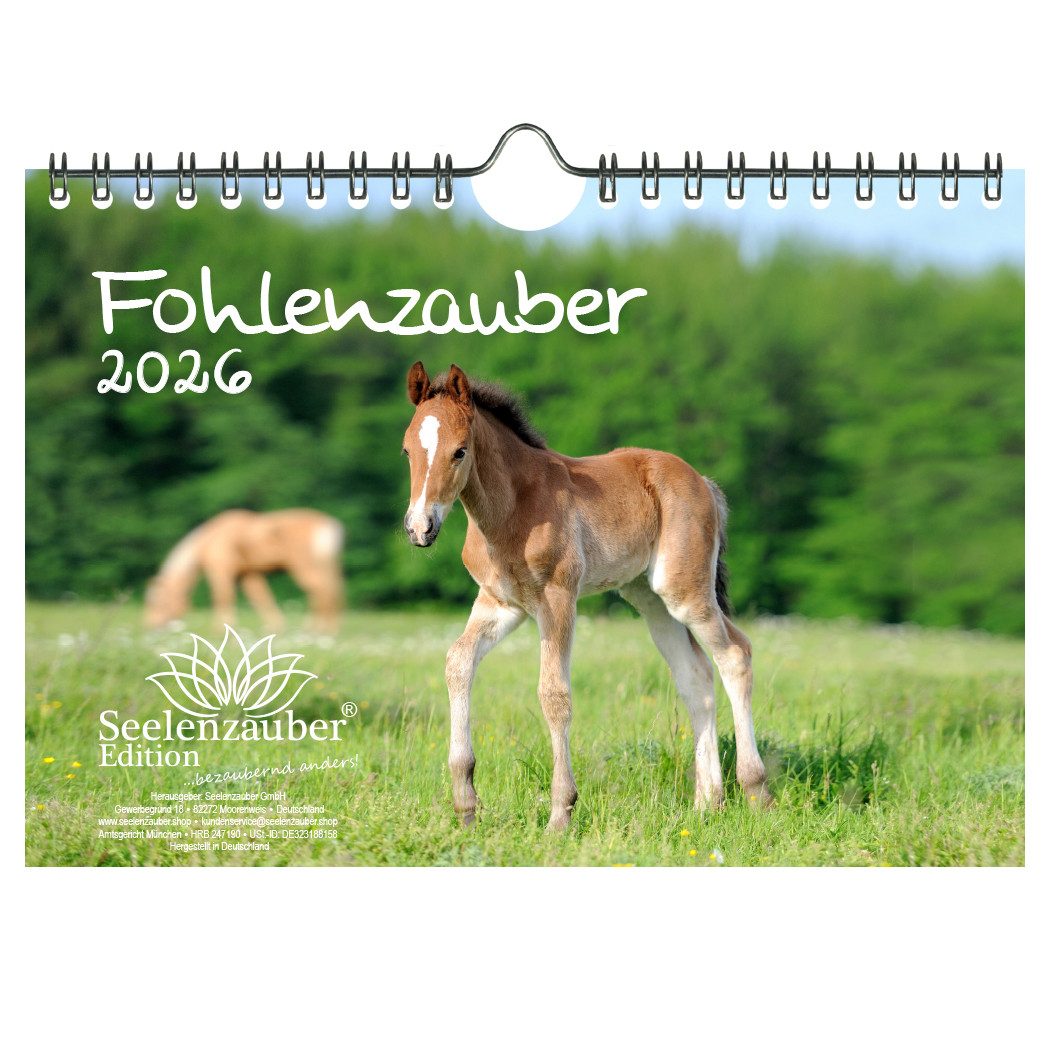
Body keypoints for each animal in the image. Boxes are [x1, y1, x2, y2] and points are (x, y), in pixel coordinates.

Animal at [145, 509, 344, 633]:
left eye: (157, 602)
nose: (150, 626)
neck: (209, 539)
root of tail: (327, 524)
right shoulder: (249, 575)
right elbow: (261, 598)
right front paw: (275, 628)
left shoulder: (220, 572)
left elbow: (223, 598)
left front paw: (220, 630)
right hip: (328, 564)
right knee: (332, 590)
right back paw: (328, 630)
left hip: (304, 566)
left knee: (322, 591)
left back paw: (317, 629)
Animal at [402, 361, 770, 830]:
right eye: (407, 451)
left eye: (460, 451)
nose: (420, 528)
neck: (513, 508)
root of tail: (703, 482)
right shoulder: (500, 604)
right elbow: (458, 663)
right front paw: (466, 804)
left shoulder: (558, 598)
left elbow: (554, 694)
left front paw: (561, 812)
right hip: (650, 600)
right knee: (695, 678)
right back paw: (708, 803)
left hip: (685, 591)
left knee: (735, 655)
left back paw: (756, 790)